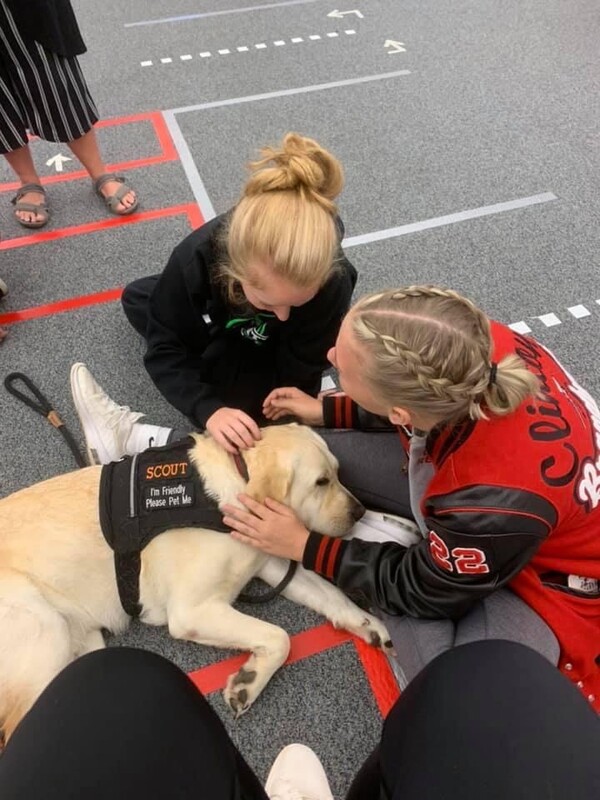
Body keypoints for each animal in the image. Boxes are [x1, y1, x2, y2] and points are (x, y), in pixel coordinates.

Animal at [0, 424, 390, 744]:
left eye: (338, 474)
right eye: (321, 482)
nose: (360, 512)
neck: (233, 487)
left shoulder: (269, 558)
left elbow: (329, 594)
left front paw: (366, 622)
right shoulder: (192, 611)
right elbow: (280, 637)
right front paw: (251, 681)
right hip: (44, 628)